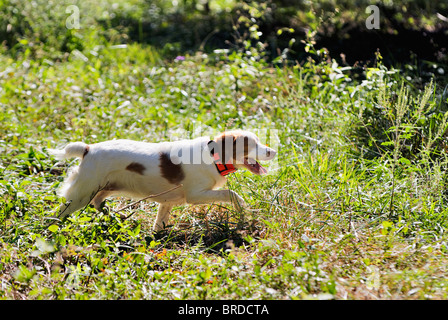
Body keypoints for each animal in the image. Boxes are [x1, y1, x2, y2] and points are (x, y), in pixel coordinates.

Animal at [47, 130, 274, 230]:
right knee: (59, 214)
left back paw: (116, 217)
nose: (273, 151)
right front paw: (244, 209)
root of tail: (88, 149)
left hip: (102, 189)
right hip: (81, 195)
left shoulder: (168, 202)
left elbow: (159, 224)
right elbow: (231, 194)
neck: (212, 156)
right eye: (252, 144)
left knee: (98, 204)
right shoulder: (196, 195)